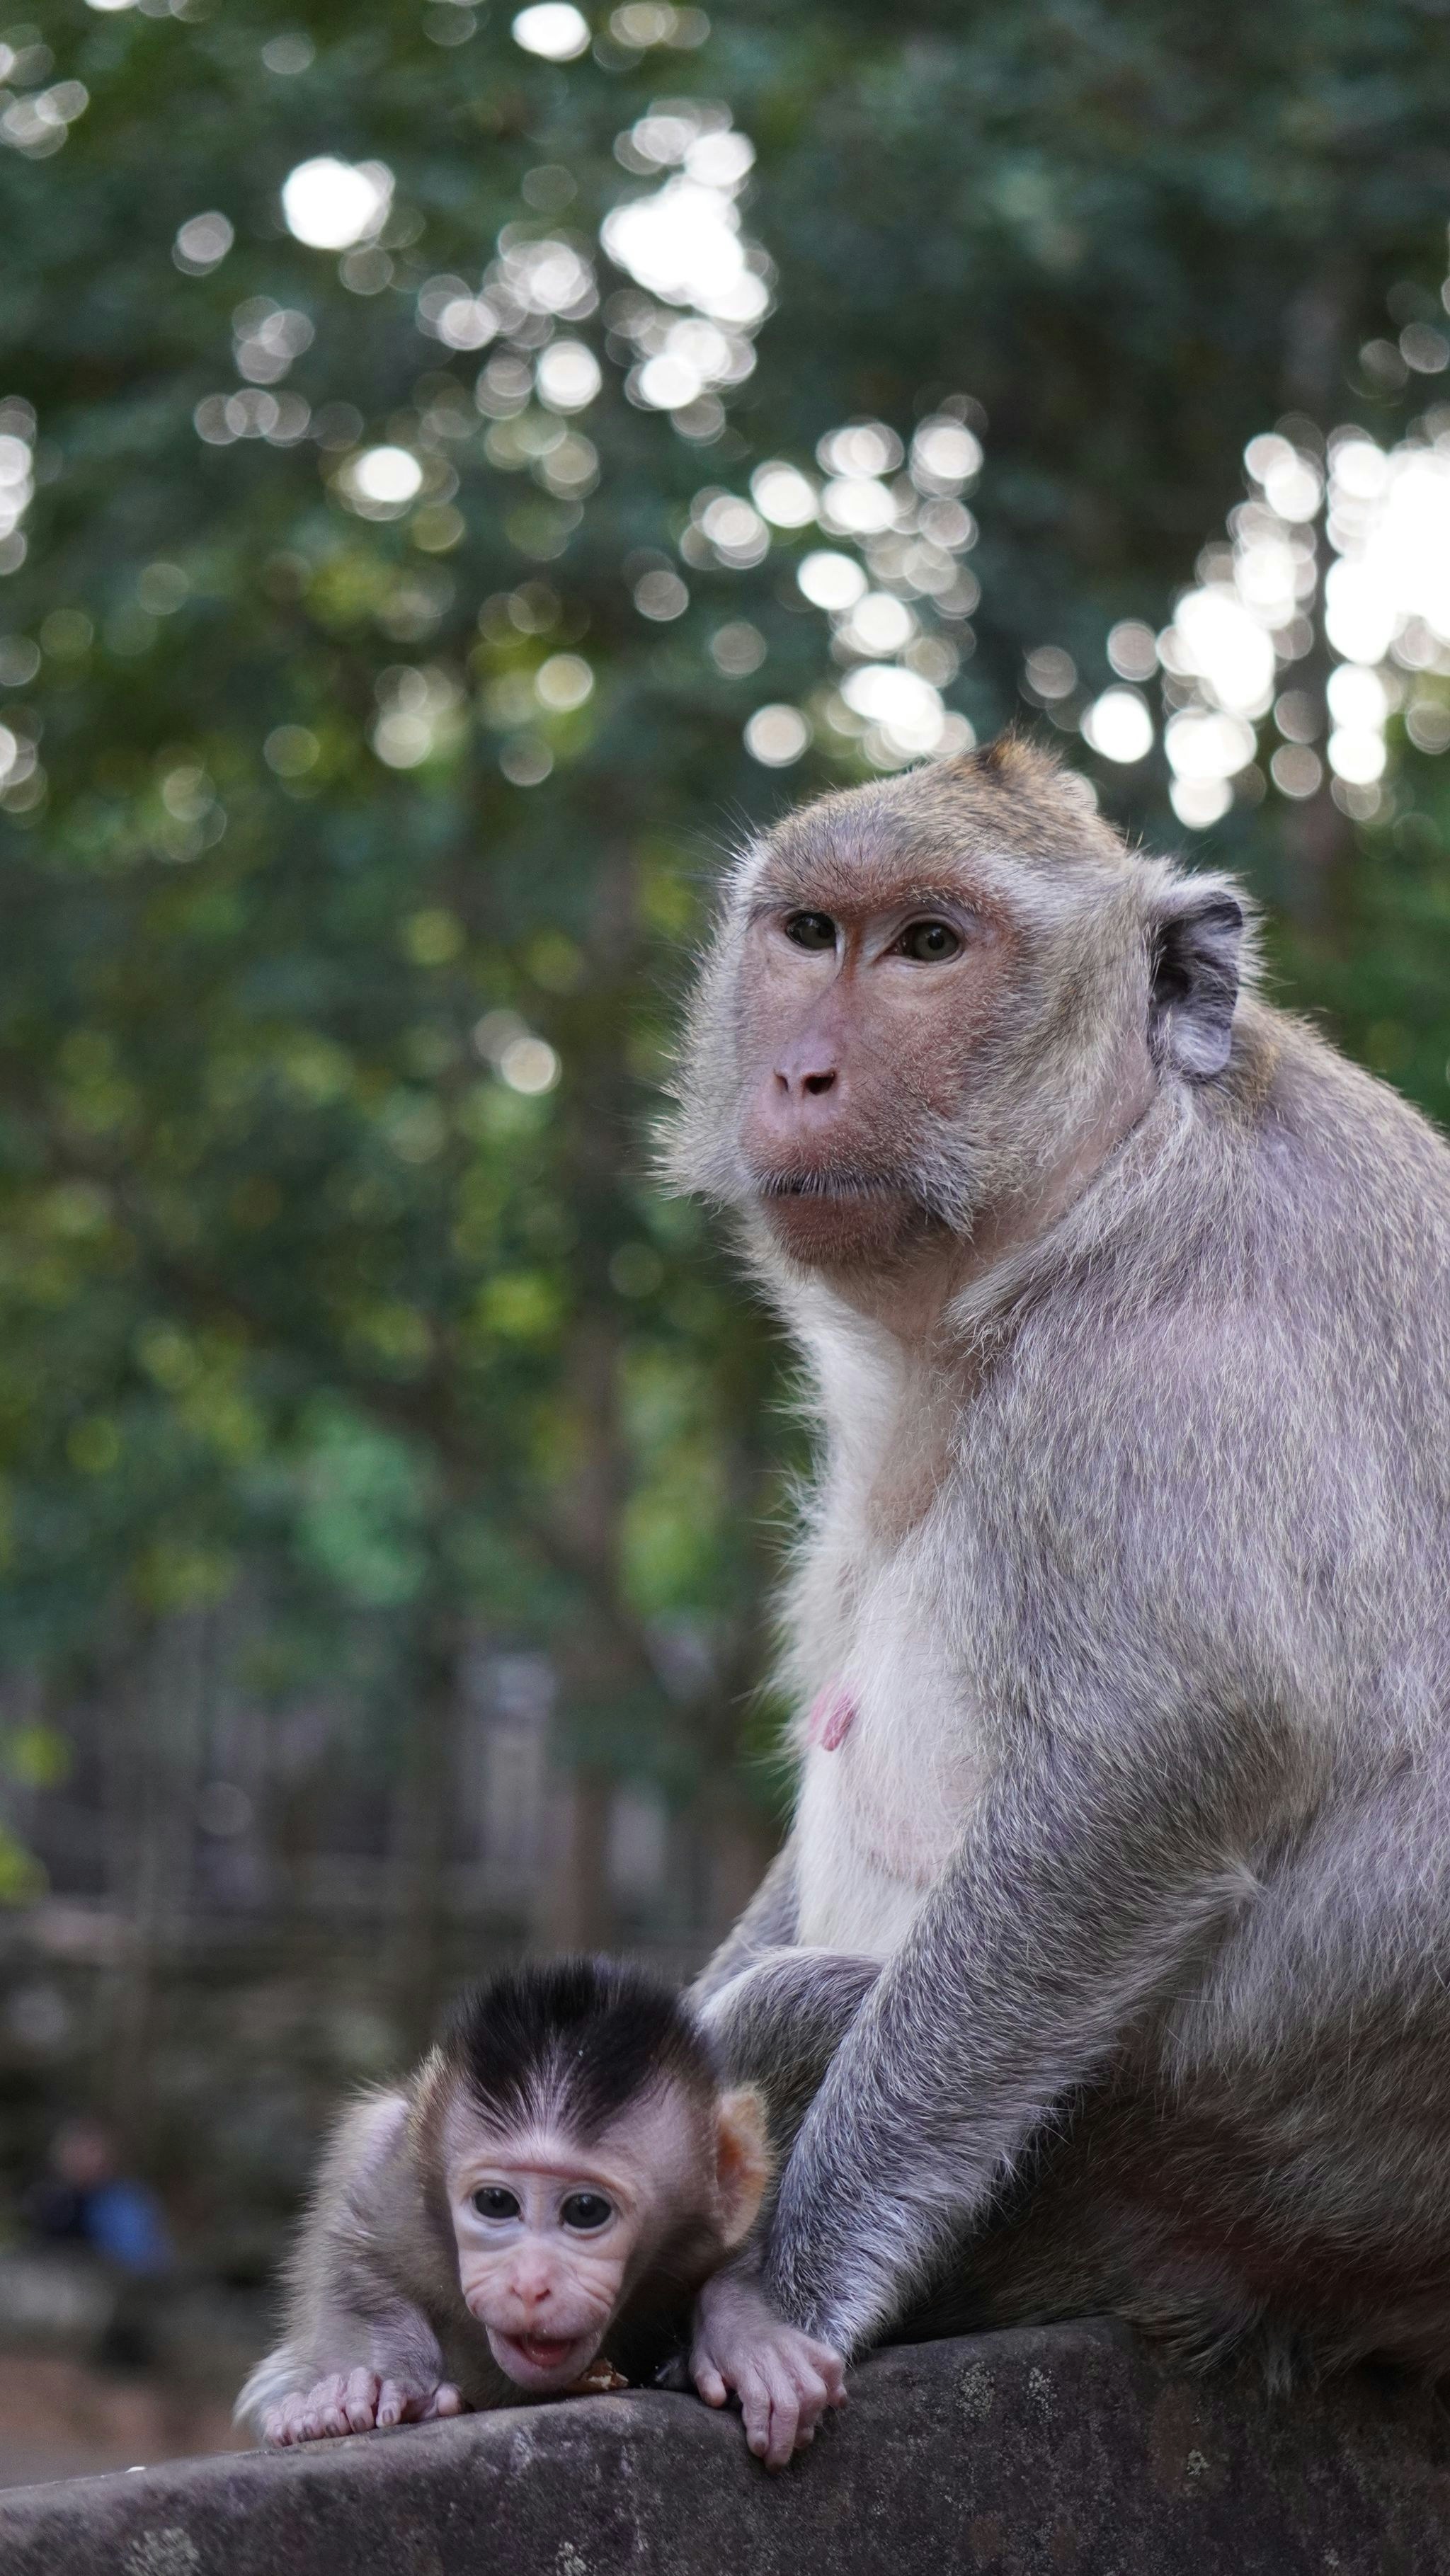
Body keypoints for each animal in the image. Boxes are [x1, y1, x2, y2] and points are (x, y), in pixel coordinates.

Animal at [235, 1955, 846, 2468]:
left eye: (585, 2210)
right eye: (496, 2202)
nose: (530, 2284)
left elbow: (738, 2253)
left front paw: (749, 2342)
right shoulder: (391, 2187)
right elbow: (357, 2263)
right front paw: (357, 2391)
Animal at [662, 733, 1450, 2392]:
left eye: (928, 946)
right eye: (810, 934)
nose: (801, 1073)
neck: (1095, 1192)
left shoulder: (1180, 1363)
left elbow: (1172, 1741)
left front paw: (782, 2295)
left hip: (1163, 2186)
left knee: (784, 2025)